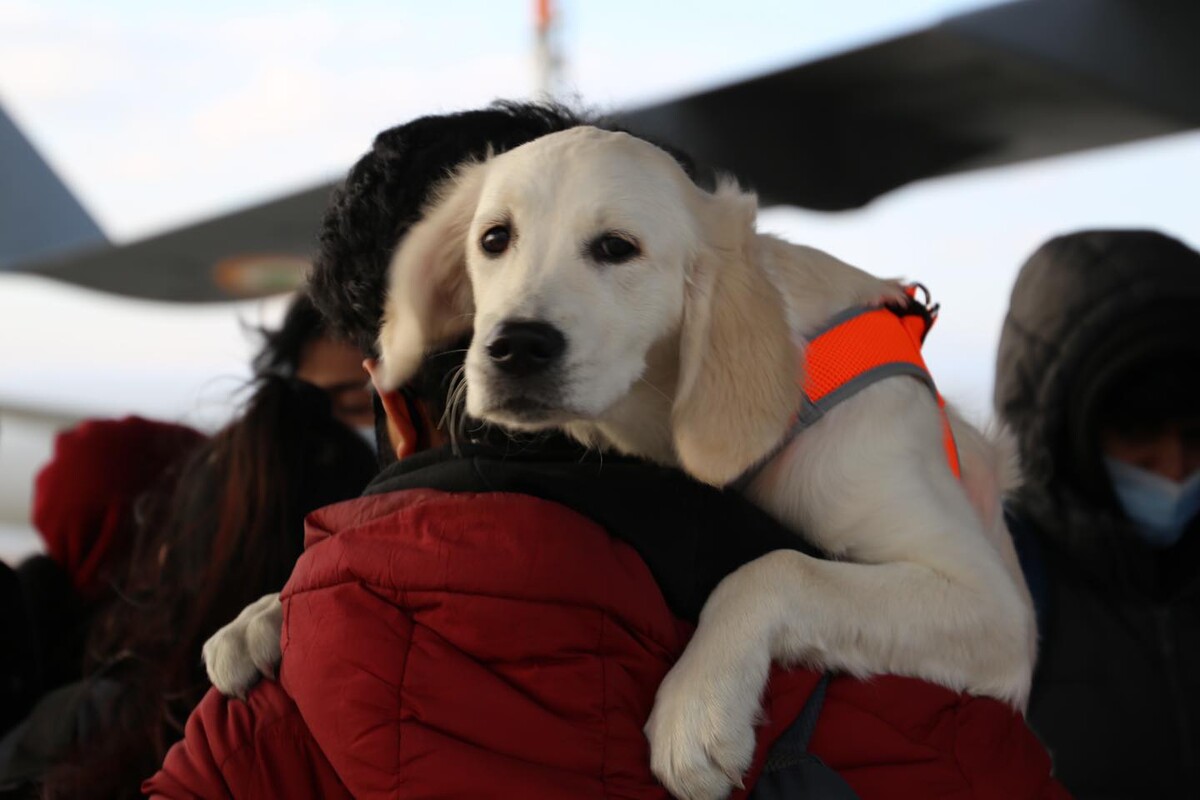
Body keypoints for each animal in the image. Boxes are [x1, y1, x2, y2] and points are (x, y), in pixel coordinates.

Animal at [211, 126, 1036, 800]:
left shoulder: (994, 605)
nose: (514, 347)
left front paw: (696, 708)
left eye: (616, 248)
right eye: (494, 238)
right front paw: (258, 616)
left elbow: (775, 569)